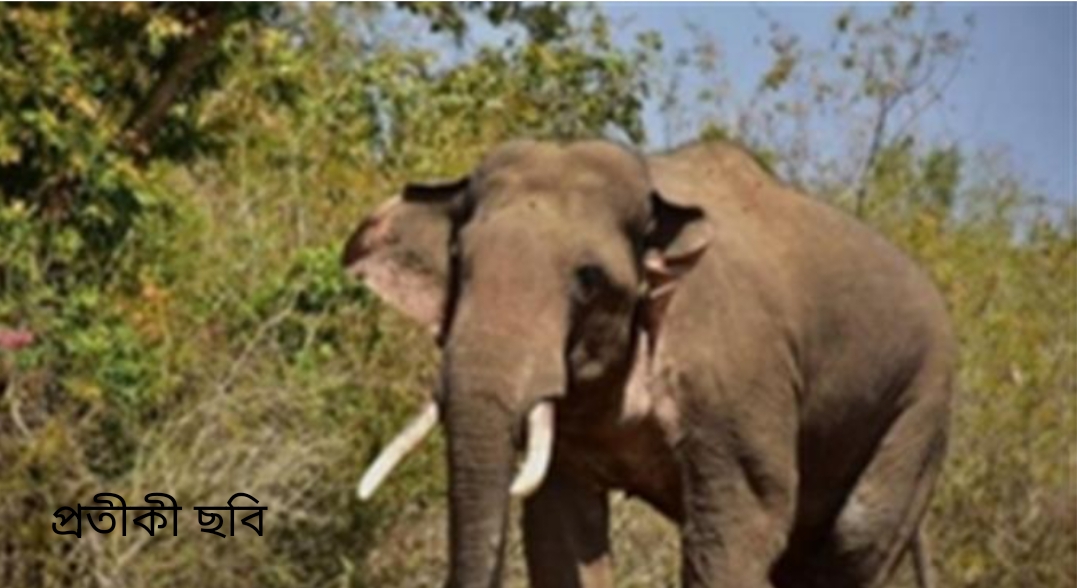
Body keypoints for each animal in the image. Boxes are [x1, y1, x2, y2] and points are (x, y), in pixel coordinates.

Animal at [342, 139, 954, 588]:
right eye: (457, 259)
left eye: (588, 279)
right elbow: (561, 525)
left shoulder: (736, 377)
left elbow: (741, 520)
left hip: (920, 409)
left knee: (854, 539)